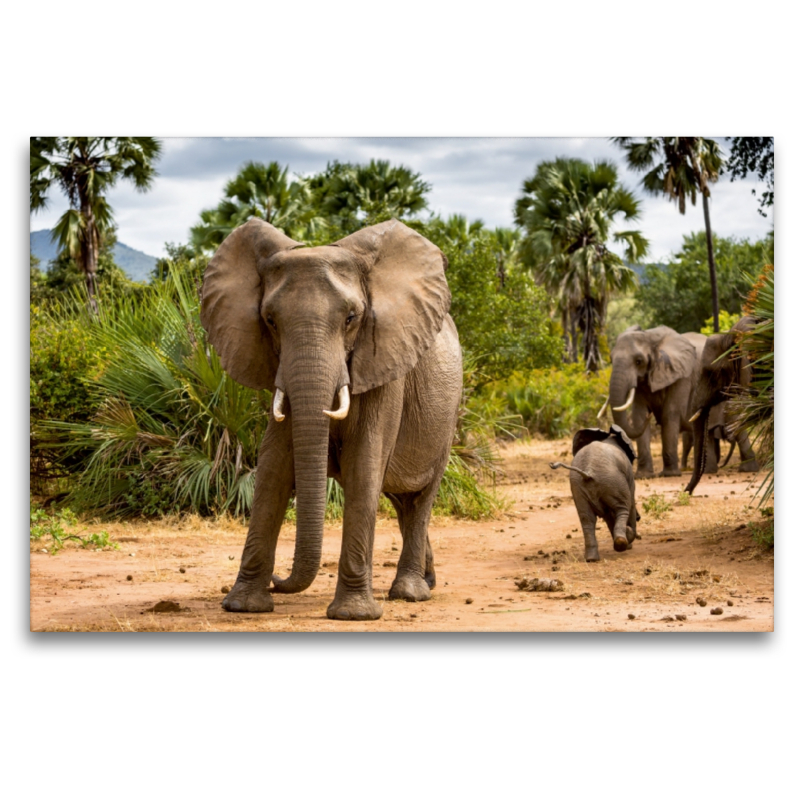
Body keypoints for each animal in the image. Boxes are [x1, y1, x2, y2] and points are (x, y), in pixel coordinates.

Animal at [200, 217, 462, 620]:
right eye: (270, 321)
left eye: (352, 318)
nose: (278, 578)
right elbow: (274, 466)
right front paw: (243, 606)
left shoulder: (384, 361)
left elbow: (364, 462)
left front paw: (353, 615)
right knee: (400, 501)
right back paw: (426, 582)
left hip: (448, 417)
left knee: (420, 498)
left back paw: (410, 592)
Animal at [548, 424, 640, 564]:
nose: (639, 518)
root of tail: (588, 471)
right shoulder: (628, 476)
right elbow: (630, 503)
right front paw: (628, 543)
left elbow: (607, 516)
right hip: (612, 480)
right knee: (623, 508)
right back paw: (622, 542)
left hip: (579, 486)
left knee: (586, 519)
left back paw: (592, 558)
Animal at [600, 324, 708, 476]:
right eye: (611, 359)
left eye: (639, 361)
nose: (650, 415)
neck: (651, 337)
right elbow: (638, 416)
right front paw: (643, 475)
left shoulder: (682, 376)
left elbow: (670, 413)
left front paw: (670, 474)